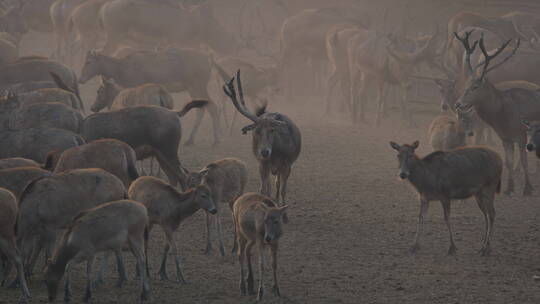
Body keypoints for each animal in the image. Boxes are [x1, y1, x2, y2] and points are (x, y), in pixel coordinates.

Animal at [223, 71, 302, 223]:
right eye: (256, 131)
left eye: (272, 130)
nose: (265, 151)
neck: (276, 155)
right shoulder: (262, 164)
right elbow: (262, 190)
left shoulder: (287, 164)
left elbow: (283, 189)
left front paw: (285, 216)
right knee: (269, 186)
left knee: (277, 184)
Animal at [454, 32, 536, 196]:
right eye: (466, 85)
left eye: (475, 87)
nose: (458, 103)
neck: (504, 116)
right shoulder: (505, 138)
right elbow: (508, 162)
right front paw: (509, 189)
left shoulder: (521, 134)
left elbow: (524, 161)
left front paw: (528, 189)